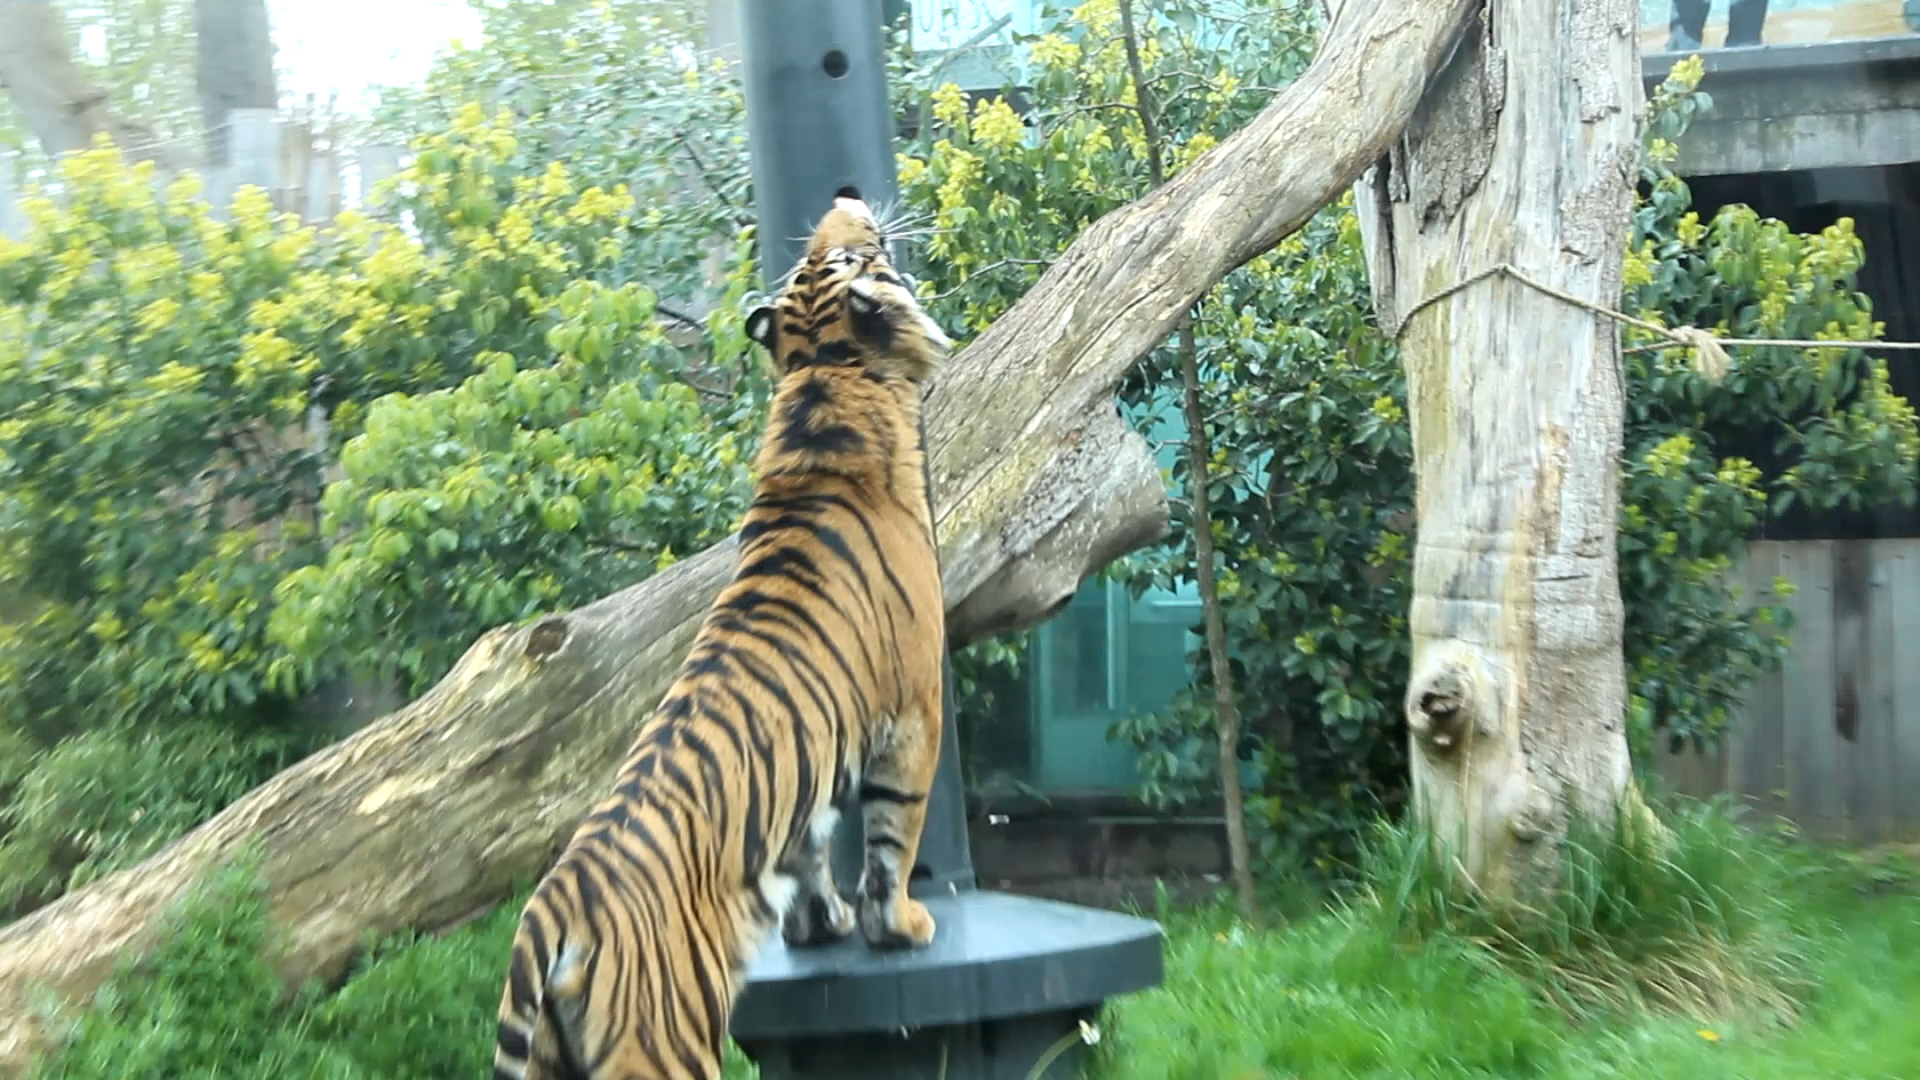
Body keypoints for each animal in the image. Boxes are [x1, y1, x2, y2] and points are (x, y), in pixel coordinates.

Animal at [491, 189, 954, 1080]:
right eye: (846, 256)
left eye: (815, 258)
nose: (846, 197)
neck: (824, 373)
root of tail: (550, 916)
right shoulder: (915, 710)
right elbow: (893, 837)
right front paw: (900, 927)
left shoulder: (808, 778)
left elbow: (811, 851)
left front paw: (820, 926)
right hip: (660, 1048)